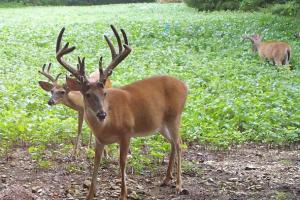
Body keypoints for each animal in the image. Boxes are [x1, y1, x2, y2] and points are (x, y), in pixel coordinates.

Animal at [52, 25, 188, 200]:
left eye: (104, 93)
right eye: (87, 94)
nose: (102, 114)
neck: (106, 125)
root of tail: (185, 86)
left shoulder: (126, 133)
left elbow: (122, 162)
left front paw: (123, 194)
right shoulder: (100, 140)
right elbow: (96, 163)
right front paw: (90, 194)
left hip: (175, 116)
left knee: (179, 144)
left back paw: (178, 185)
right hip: (160, 124)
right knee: (172, 143)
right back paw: (166, 179)